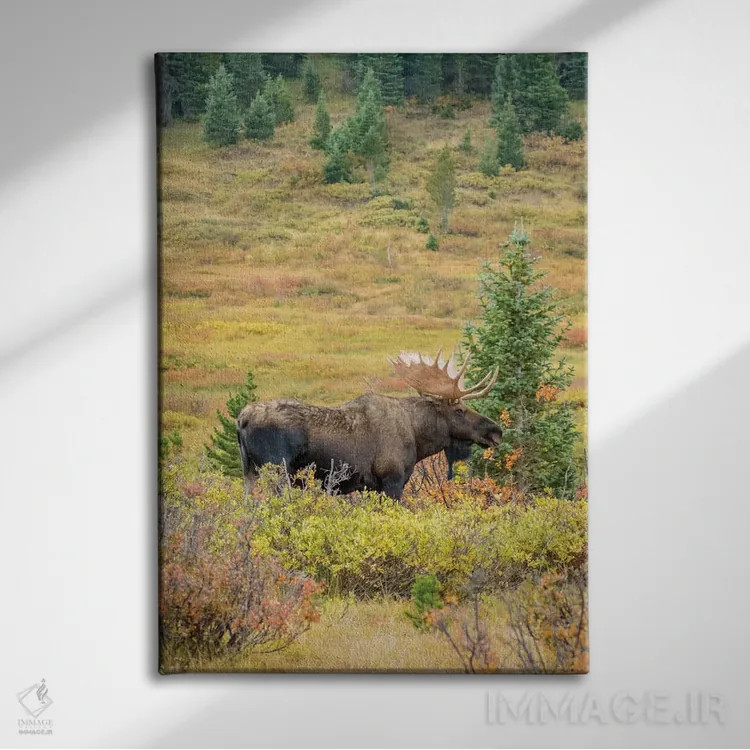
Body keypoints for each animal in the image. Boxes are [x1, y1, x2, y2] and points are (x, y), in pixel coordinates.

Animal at [236, 351, 502, 500]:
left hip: (249, 472)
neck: (418, 438)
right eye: (459, 410)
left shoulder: (370, 487)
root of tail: (241, 420)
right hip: (277, 471)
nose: (496, 431)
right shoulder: (392, 479)